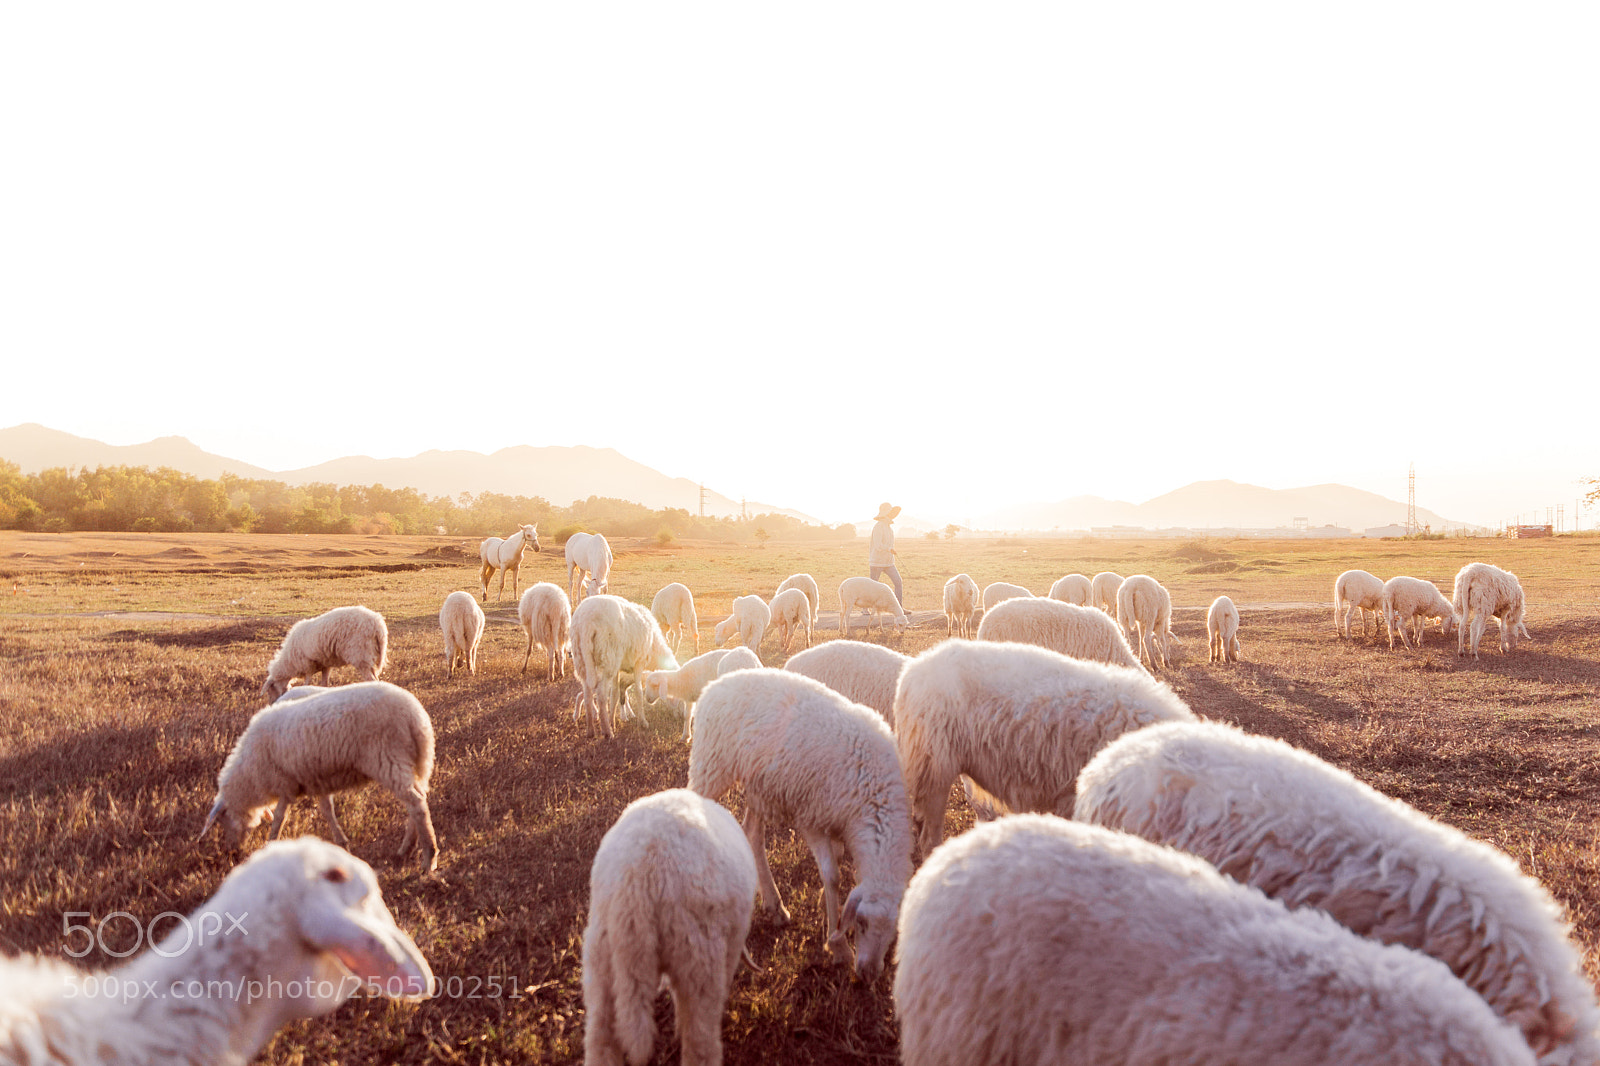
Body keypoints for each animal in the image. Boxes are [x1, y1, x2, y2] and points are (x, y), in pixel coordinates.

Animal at [201, 680, 440, 875]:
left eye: (222, 820)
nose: (232, 853)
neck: (250, 776)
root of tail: (416, 718)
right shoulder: (315, 780)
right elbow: (327, 810)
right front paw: (342, 842)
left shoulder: (286, 784)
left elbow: (279, 818)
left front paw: (270, 844)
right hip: (415, 762)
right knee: (418, 801)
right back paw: (406, 849)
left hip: (388, 758)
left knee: (416, 803)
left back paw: (429, 858)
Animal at [260, 605, 388, 702]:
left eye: (271, 689)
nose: (272, 703)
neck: (289, 662)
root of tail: (378, 625)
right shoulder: (325, 665)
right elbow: (324, 684)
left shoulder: (307, 666)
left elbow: (306, 683)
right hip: (370, 657)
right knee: (377, 679)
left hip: (360, 655)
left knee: (371, 679)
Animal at [570, 594, 679, 739]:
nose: (678, 718)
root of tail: (586, 623)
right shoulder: (638, 662)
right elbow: (638, 692)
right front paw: (642, 722)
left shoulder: (619, 667)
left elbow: (615, 694)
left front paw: (613, 721)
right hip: (608, 657)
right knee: (601, 694)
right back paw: (607, 732)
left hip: (582, 659)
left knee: (587, 694)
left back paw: (590, 731)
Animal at [688, 669, 913, 980]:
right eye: (863, 922)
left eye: (894, 930)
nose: (868, 974)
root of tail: (714, 685)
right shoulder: (811, 817)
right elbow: (832, 875)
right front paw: (838, 947)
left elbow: (837, 862)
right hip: (710, 767)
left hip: (759, 786)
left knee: (752, 835)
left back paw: (775, 905)